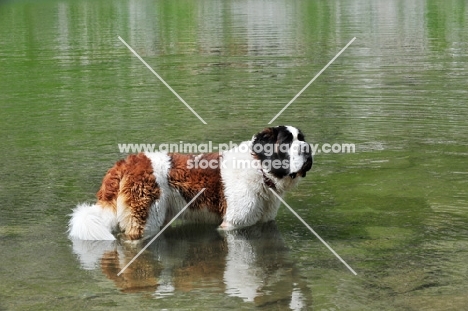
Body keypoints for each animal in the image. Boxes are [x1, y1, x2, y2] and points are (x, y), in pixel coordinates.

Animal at [68, 126, 310, 241]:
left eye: (301, 138)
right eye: (286, 142)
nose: (307, 148)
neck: (259, 168)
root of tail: (126, 163)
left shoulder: (261, 223)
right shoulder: (232, 225)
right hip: (146, 220)